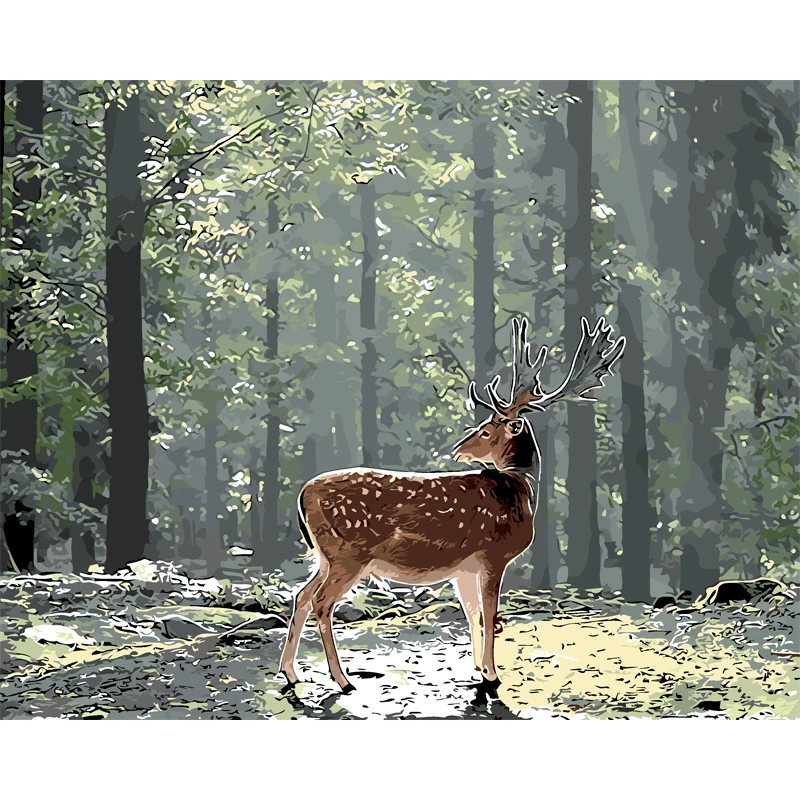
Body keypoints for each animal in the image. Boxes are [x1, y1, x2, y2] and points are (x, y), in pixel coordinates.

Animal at [279, 315, 625, 695]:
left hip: (327, 556)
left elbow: (473, 614)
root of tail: (303, 493)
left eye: (487, 430)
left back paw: (291, 673)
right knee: (321, 602)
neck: (517, 489)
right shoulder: (493, 554)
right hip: (349, 553)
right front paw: (492, 675)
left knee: (301, 596)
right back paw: (342, 680)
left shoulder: (465, 567)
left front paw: (478, 668)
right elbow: (490, 614)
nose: (459, 449)